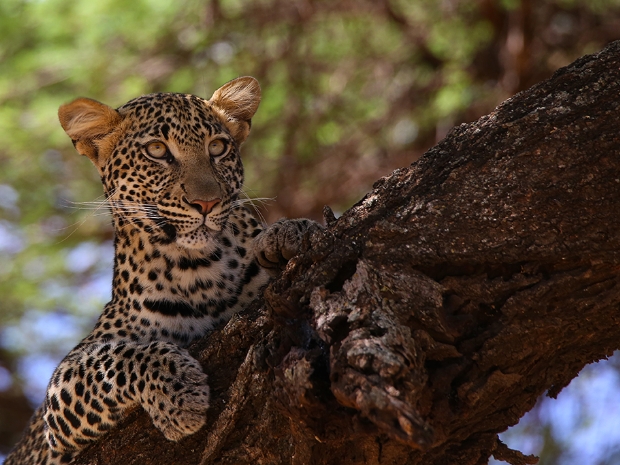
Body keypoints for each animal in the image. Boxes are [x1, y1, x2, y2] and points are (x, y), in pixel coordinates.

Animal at [4, 77, 322, 464]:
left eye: (217, 147)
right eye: (157, 150)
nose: (206, 202)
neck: (201, 270)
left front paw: (289, 233)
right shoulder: (60, 394)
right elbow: (113, 360)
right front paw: (179, 393)